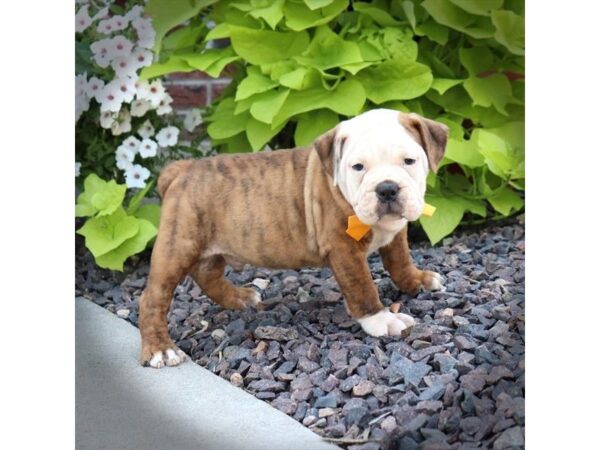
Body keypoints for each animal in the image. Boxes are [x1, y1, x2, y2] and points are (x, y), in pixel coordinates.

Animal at [138, 110, 448, 370]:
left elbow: (400, 260)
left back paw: (240, 297)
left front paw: (417, 280)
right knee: (153, 297)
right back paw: (161, 349)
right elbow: (362, 287)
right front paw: (381, 319)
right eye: (358, 167)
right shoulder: (343, 249)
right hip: (178, 246)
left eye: (409, 161)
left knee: (207, 275)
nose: (387, 188)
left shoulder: (396, 232)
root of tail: (182, 170)